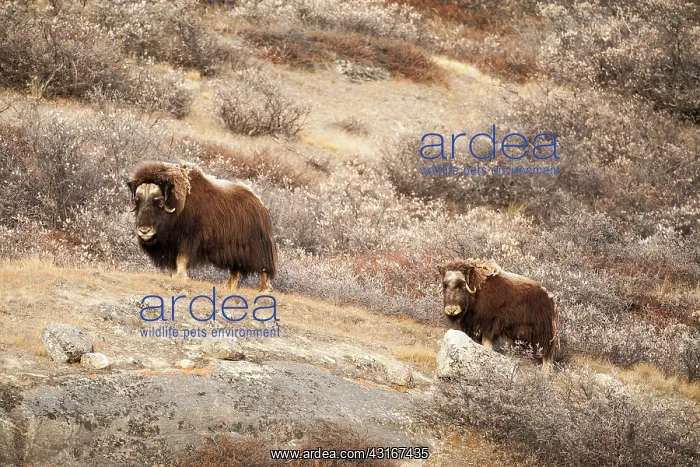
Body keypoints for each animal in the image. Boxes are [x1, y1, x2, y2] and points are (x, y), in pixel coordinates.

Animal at [127, 161, 278, 291]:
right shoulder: (172, 245)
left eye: (159, 202)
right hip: (234, 252)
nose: (144, 231)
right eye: (138, 201)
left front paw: (180, 278)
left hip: (256, 249)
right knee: (235, 271)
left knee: (263, 269)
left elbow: (182, 259)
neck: (178, 207)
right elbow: (176, 263)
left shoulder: (188, 240)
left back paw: (264, 290)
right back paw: (228, 287)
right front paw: (175, 277)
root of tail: (260, 204)